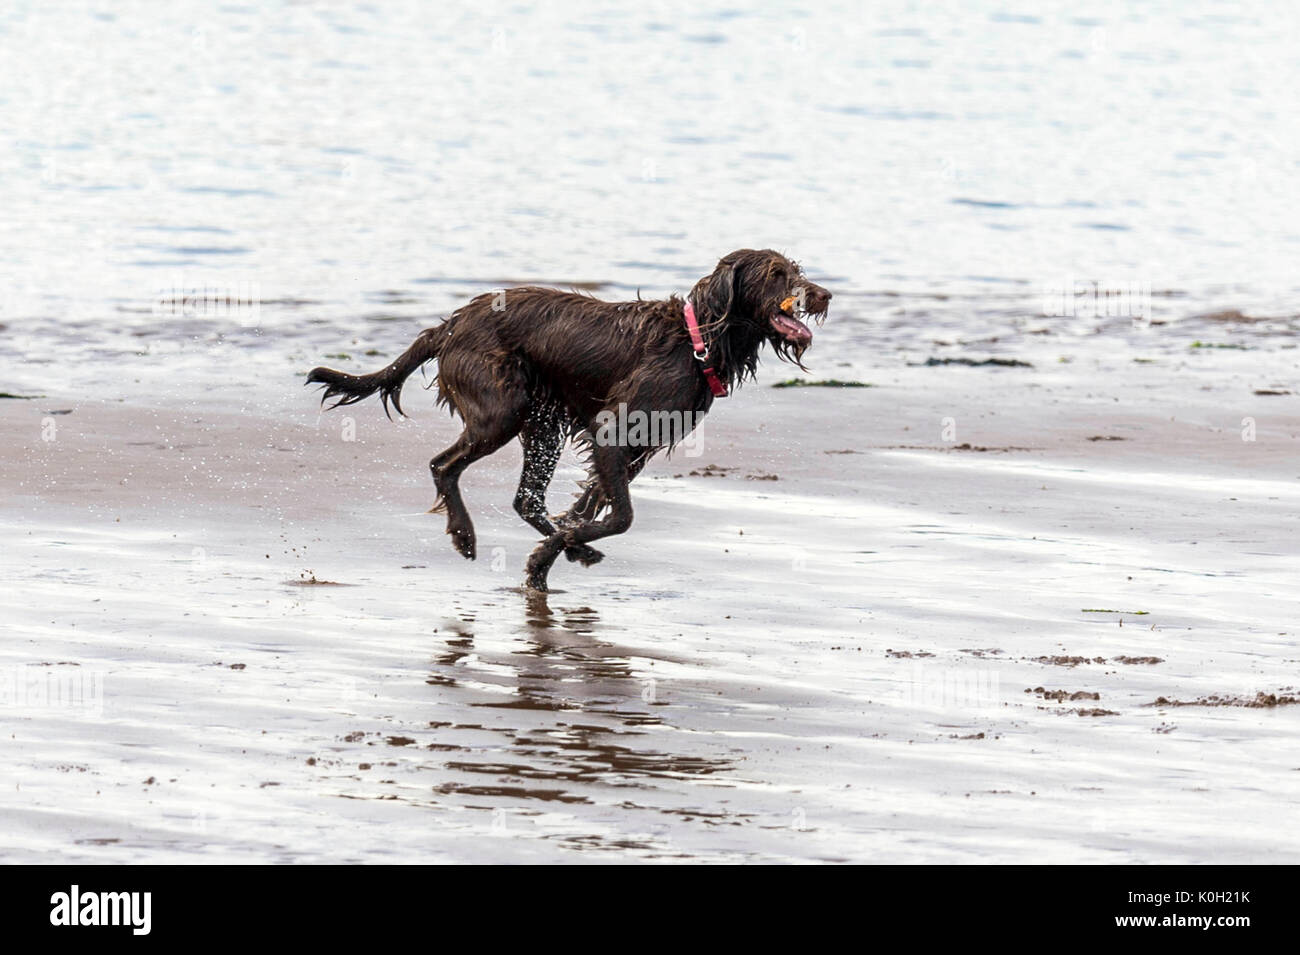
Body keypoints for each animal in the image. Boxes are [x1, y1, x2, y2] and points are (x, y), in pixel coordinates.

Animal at [304, 246, 832, 589]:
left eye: (796, 270)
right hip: (504, 411)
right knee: (444, 465)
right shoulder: (612, 432)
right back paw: (465, 534)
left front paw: (555, 553)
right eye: (776, 273)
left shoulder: (634, 449)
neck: (696, 340)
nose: (825, 295)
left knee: (525, 499)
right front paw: (553, 553)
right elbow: (621, 516)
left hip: (543, 424)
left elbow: (586, 509)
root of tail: (450, 325)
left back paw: (565, 550)